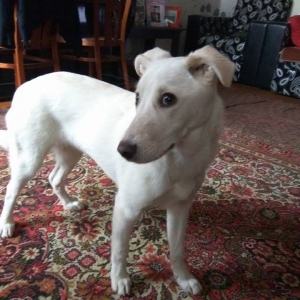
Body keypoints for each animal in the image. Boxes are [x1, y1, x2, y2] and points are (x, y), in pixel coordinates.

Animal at [0, 46, 234, 296]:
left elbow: (177, 249)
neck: (181, 156)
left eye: (168, 99)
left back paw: (68, 203)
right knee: (12, 189)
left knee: (53, 178)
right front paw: (120, 279)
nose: (122, 150)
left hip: (70, 153)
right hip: (29, 158)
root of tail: (23, 86)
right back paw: (7, 223)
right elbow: (120, 251)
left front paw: (183, 278)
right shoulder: (126, 208)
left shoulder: (180, 208)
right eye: (137, 98)